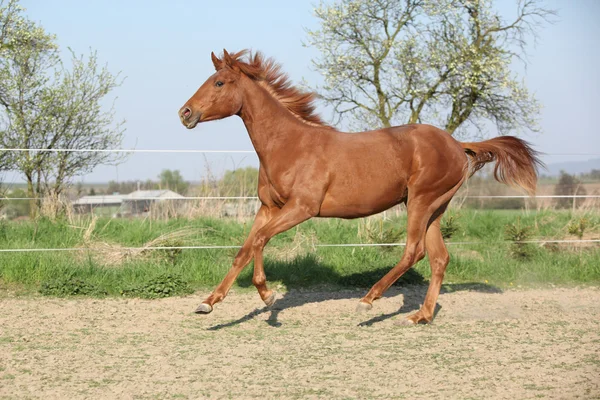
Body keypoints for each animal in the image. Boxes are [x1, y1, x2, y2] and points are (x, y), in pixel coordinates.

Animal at [178, 50, 544, 324]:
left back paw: (367, 301)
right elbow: (244, 249)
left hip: (421, 202)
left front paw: (268, 297)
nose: (185, 113)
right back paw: (420, 316)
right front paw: (209, 302)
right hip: (435, 208)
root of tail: (457, 143)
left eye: (219, 82)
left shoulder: (301, 208)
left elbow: (259, 241)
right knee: (439, 258)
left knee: (414, 252)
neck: (290, 145)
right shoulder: (268, 208)